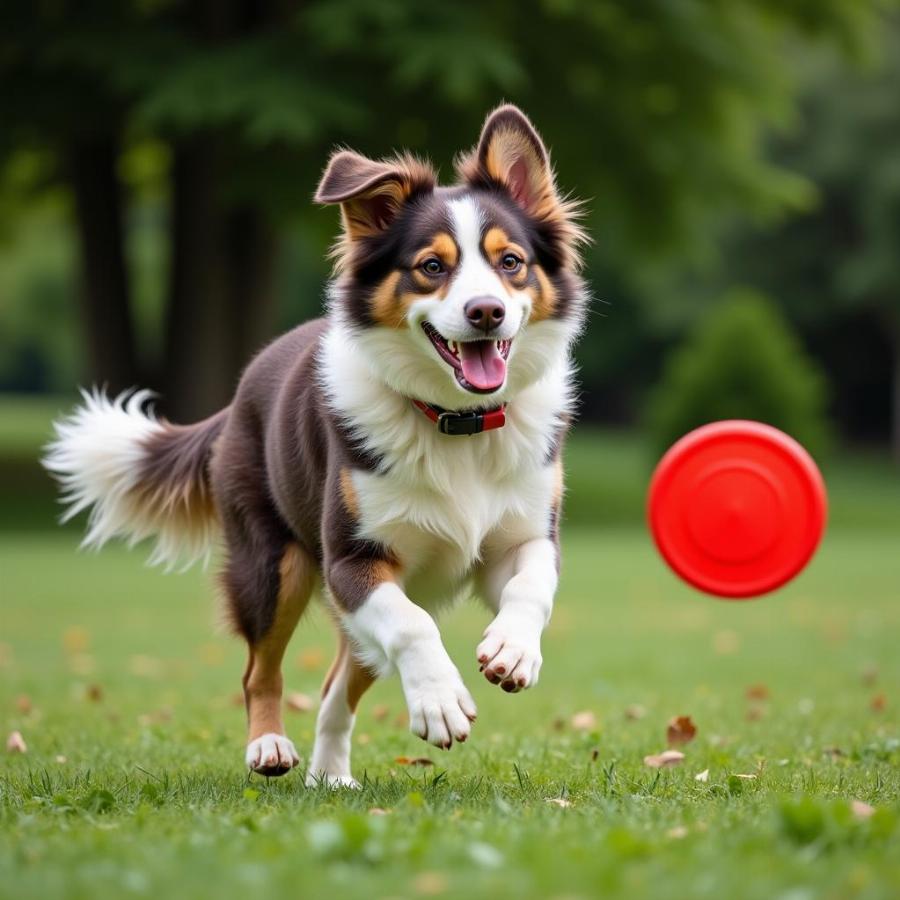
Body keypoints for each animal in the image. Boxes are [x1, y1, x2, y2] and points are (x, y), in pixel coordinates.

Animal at [44, 102, 592, 784]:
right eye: (431, 267)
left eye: (510, 261)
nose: (487, 311)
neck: (454, 422)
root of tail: (241, 390)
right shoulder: (352, 561)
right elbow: (411, 630)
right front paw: (440, 703)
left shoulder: (523, 535)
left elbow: (531, 585)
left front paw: (512, 651)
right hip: (271, 564)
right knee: (261, 669)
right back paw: (270, 748)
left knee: (338, 682)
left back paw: (330, 775)